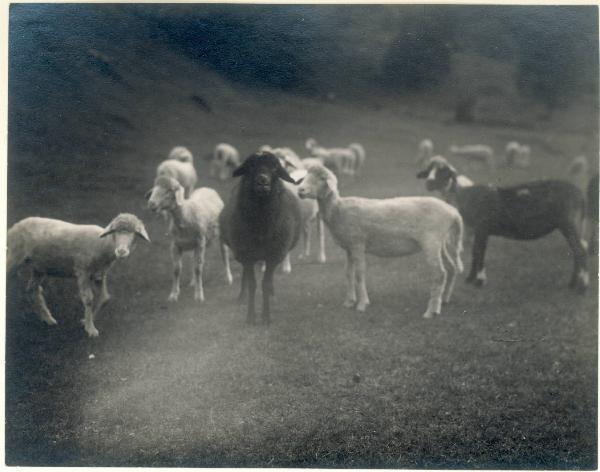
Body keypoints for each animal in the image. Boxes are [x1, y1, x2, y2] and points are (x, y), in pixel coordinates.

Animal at [6, 212, 150, 338]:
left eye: (135, 233)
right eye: (114, 231)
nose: (121, 251)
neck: (102, 244)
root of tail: (13, 228)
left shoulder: (99, 274)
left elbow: (105, 298)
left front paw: (86, 321)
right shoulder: (83, 271)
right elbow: (88, 299)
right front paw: (90, 328)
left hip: (39, 267)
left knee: (32, 290)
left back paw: (47, 318)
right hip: (14, 256)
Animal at [219, 151, 302, 324]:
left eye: (275, 168)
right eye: (251, 167)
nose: (262, 181)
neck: (261, 227)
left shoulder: (273, 256)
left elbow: (265, 284)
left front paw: (266, 317)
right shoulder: (246, 255)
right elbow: (253, 284)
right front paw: (251, 316)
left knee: (268, 281)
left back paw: (272, 295)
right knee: (245, 274)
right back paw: (242, 296)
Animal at [296, 160, 464, 318]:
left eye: (321, 178)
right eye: (306, 176)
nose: (300, 190)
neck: (339, 209)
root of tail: (453, 212)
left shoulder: (358, 243)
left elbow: (359, 273)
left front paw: (362, 304)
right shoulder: (349, 247)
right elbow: (348, 273)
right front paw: (349, 302)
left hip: (431, 242)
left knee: (439, 274)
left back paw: (431, 311)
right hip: (440, 243)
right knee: (451, 268)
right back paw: (444, 300)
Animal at [420, 159, 588, 292]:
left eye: (444, 172)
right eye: (429, 170)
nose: (429, 182)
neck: (463, 196)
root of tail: (580, 195)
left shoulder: (483, 228)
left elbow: (480, 253)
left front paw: (480, 280)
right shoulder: (474, 230)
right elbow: (474, 253)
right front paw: (470, 278)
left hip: (569, 223)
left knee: (580, 252)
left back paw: (582, 287)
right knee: (577, 252)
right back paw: (572, 284)